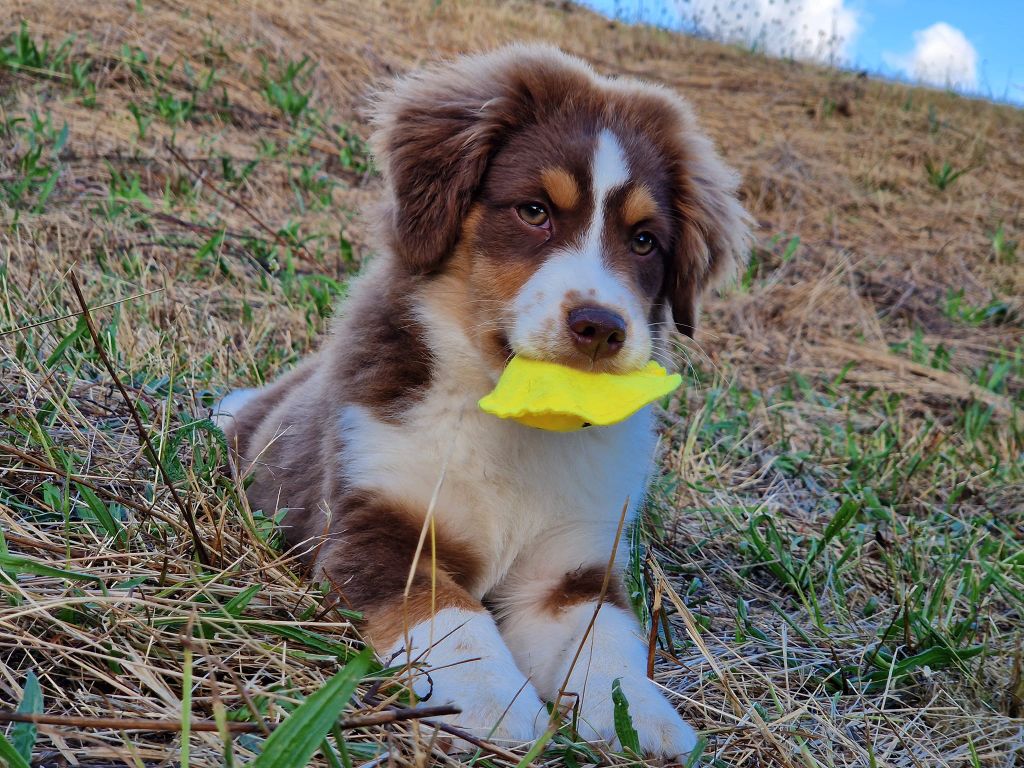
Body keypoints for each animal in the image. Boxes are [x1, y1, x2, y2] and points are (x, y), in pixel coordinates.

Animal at [216, 45, 749, 761]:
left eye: (644, 241)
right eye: (533, 211)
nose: (601, 326)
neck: (512, 424)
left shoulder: (571, 567)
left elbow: (605, 640)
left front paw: (643, 715)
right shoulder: (376, 528)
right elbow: (453, 619)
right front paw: (499, 704)